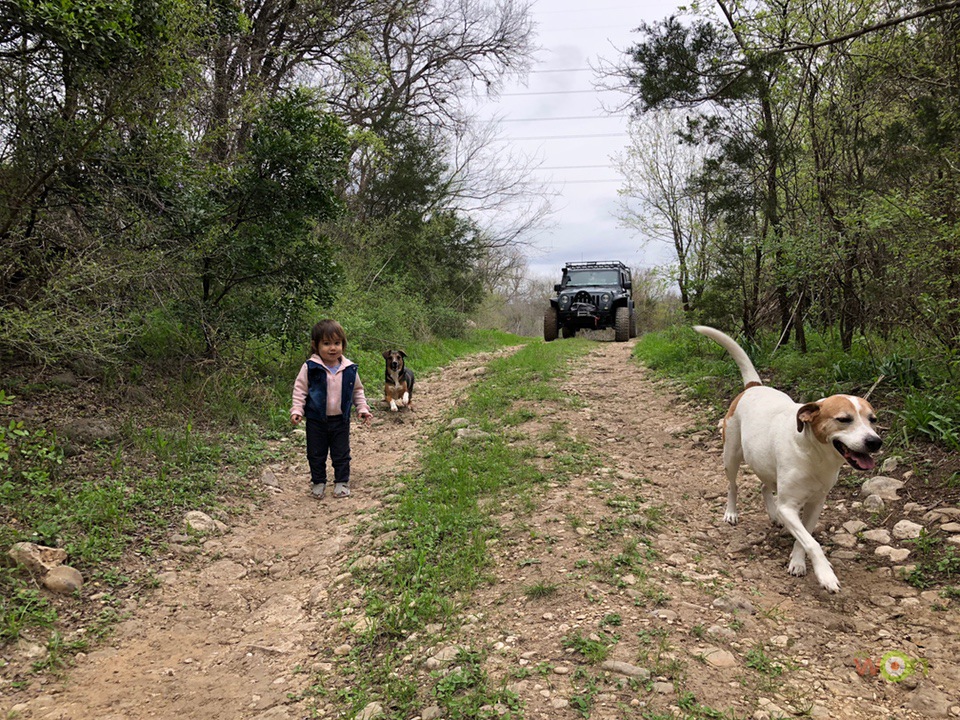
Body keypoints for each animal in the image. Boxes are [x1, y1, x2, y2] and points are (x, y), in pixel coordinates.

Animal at [692, 324, 880, 592]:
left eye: (873, 419)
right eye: (844, 419)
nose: (875, 442)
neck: (815, 456)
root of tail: (752, 386)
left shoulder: (814, 505)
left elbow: (805, 538)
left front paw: (798, 562)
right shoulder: (789, 506)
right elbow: (813, 543)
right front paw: (825, 574)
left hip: (766, 465)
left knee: (764, 487)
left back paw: (773, 515)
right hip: (731, 456)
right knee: (733, 485)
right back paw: (731, 512)